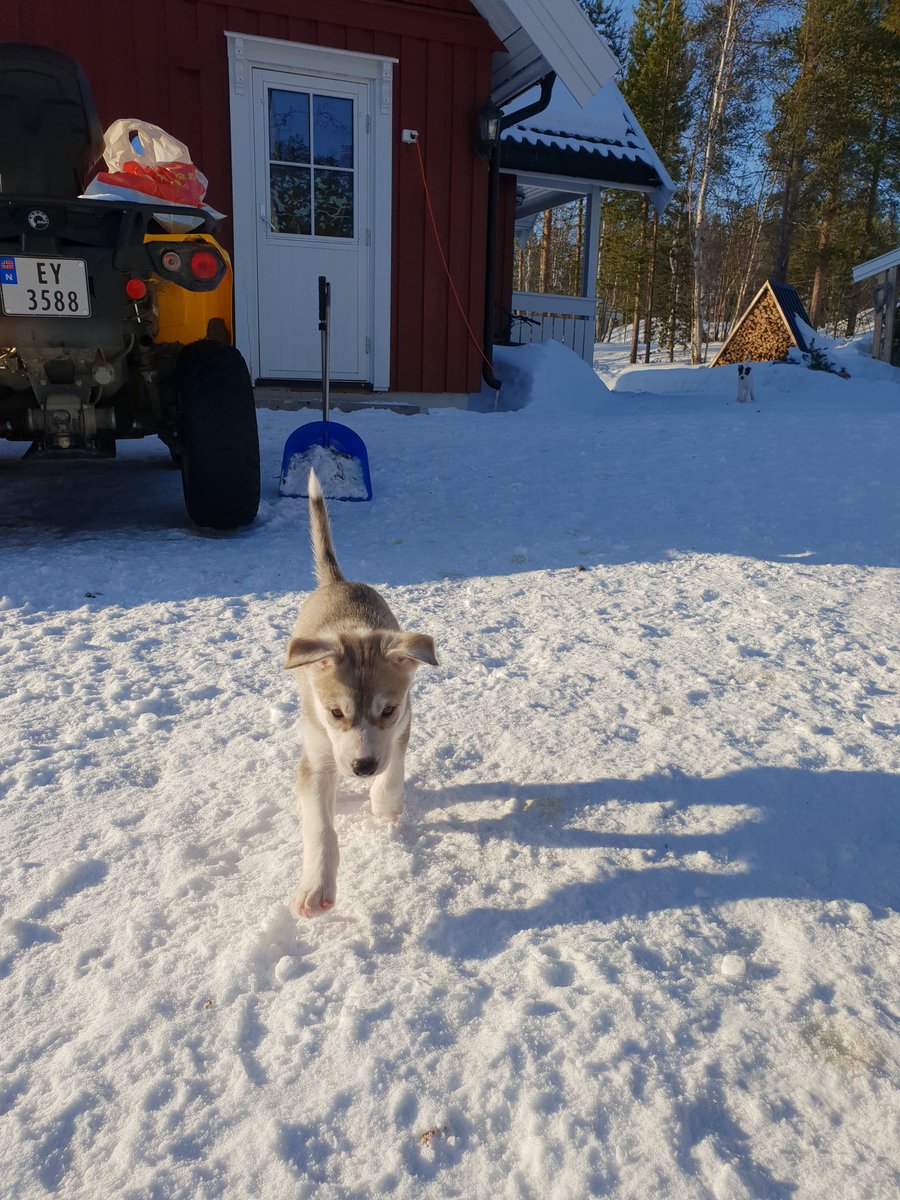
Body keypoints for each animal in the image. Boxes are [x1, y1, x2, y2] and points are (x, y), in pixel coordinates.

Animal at [282, 470, 436, 916]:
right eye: (336, 713)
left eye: (388, 709)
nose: (363, 767)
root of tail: (339, 581)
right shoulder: (315, 761)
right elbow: (320, 828)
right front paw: (316, 889)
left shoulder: (403, 726)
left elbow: (393, 773)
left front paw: (384, 807)